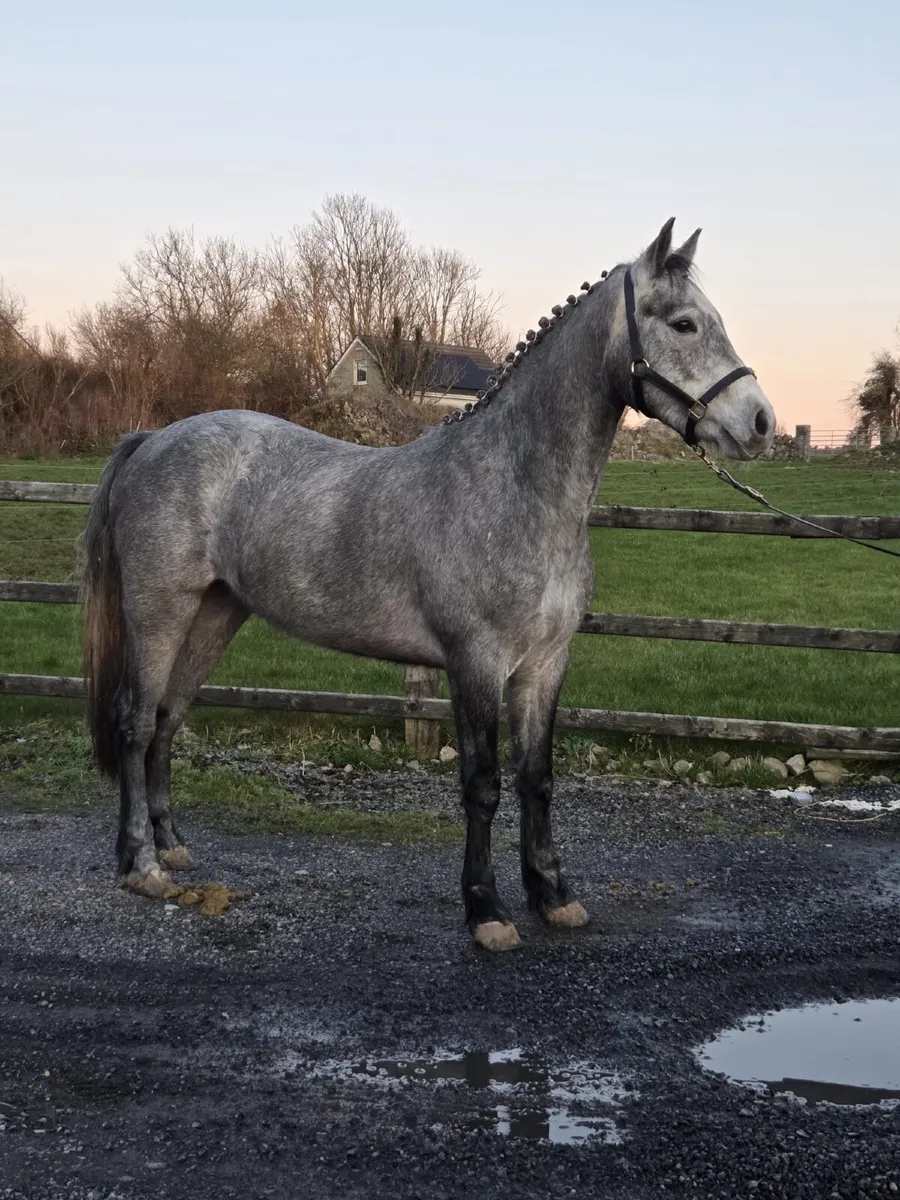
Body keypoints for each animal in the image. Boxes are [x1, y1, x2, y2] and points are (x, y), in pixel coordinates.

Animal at [81, 218, 774, 951]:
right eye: (684, 323)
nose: (761, 422)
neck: (516, 486)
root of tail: (155, 439)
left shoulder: (545, 665)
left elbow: (537, 779)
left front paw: (553, 895)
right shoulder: (475, 663)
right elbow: (482, 786)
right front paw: (487, 910)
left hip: (216, 614)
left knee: (168, 718)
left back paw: (172, 845)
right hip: (159, 613)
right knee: (134, 721)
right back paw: (142, 866)